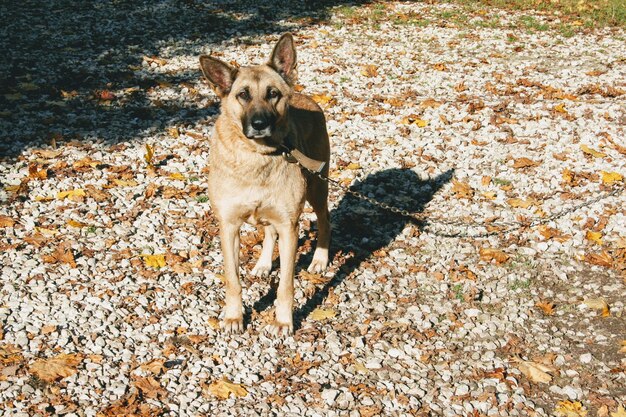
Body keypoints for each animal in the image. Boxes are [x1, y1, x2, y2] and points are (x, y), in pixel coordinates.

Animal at [200, 33, 332, 334]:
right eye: (243, 95)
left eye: (273, 94)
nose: (259, 123)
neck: (256, 155)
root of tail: (307, 97)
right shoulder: (229, 226)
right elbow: (232, 280)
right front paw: (234, 316)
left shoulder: (289, 226)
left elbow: (285, 285)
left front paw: (283, 320)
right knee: (269, 233)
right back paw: (263, 263)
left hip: (317, 188)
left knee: (325, 219)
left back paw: (319, 258)